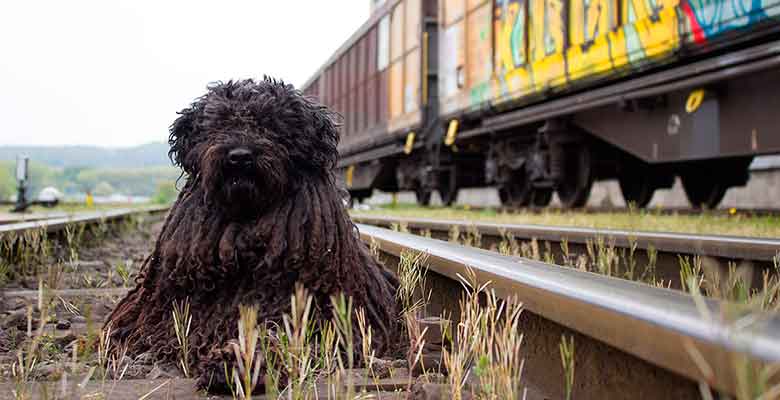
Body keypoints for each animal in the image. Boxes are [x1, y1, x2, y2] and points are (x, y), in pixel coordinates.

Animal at [106, 78, 400, 390]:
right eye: (221, 122)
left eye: (271, 124)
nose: (239, 156)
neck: (243, 230)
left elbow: (277, 335)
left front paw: (238, 362)